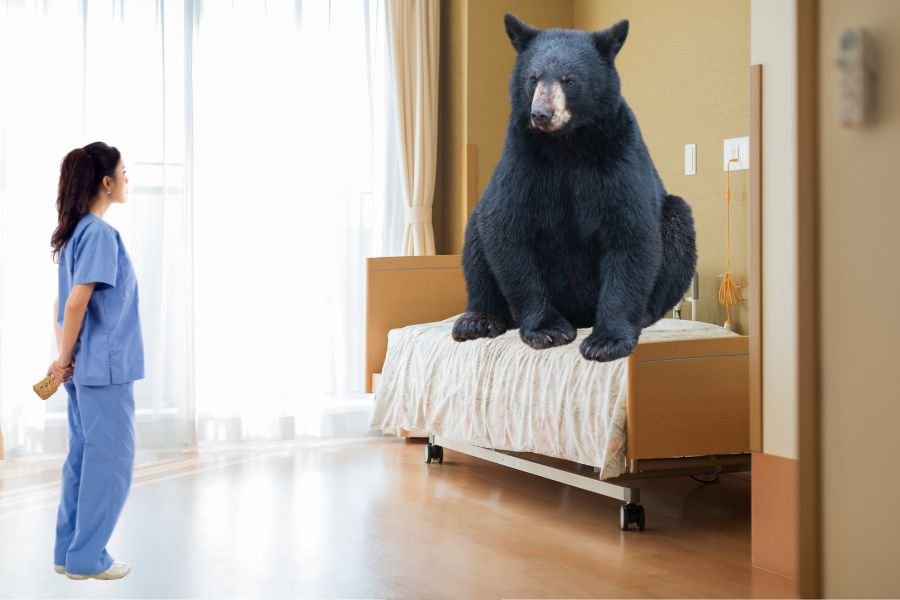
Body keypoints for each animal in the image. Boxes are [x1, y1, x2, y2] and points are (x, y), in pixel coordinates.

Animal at [451, 15, 697, 363]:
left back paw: (645, 315)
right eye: (534, 77)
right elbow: (506, 229)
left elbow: (630, 234)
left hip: (673, 222)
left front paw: (606, 341)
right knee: (476, 233)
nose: (541, 114)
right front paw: (548, 330)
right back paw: (479, 319)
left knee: (677, 224)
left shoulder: (619, 157)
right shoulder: (522, 160)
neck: (567, 144)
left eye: (569, 80)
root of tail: (579, 314)